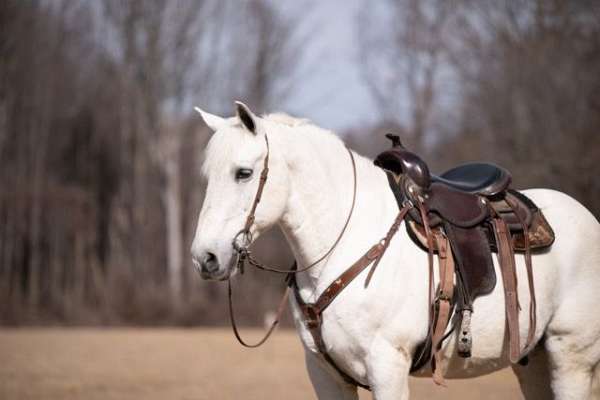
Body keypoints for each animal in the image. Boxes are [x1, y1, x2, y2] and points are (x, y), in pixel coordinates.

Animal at [190, 101, 600, 398]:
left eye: (243, 173)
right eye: (207, 176)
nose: (204, 258)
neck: (347, 242)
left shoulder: (387, 367)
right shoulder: (326, 375)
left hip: (570, 357)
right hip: (532, 360)